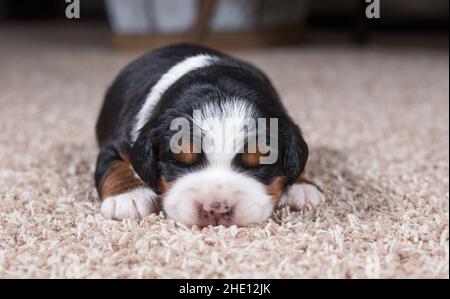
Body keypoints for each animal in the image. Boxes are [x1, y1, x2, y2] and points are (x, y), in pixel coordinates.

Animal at [95, 43, 326, 227]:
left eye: (261, 162)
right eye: (179, 160)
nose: (216, 207)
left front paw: (302, 187)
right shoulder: (117, 144)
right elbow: (113, 165)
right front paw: (129, 196)